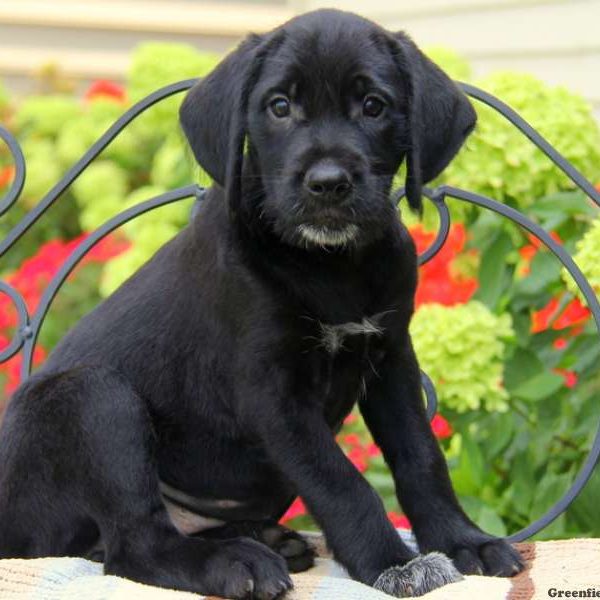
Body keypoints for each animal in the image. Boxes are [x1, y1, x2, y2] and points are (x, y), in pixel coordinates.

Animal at [0, 9, 524, 600]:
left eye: (373, 106)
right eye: (279, 106)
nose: (328, 184)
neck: (329, 264)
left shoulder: (391, 358)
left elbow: (421, 457)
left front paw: (463, 541)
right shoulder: (274, 394)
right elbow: (342, 482)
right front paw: (392, 561)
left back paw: (264, 538)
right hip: (92, 397)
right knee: (134, 547)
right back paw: (233, 561)